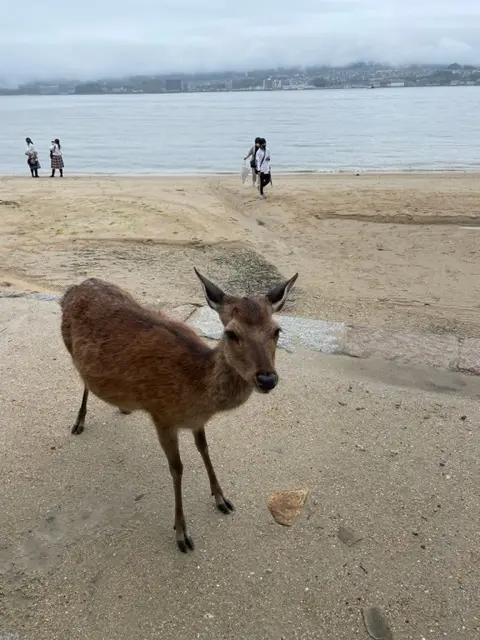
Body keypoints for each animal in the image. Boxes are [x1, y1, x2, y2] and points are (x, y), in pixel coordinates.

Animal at [60, 268, 298, 552]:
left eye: (277, 331)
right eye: (231, 333)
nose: (267, 379)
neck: (196, 390)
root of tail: (74, 288)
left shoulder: (197, 421)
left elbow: (204, 449)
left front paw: (221, 498)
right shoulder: (161, 416)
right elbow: (177, 468)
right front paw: (182, 533)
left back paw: (123, 407)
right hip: (70, 349)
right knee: (83, 380)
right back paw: (79, 422)